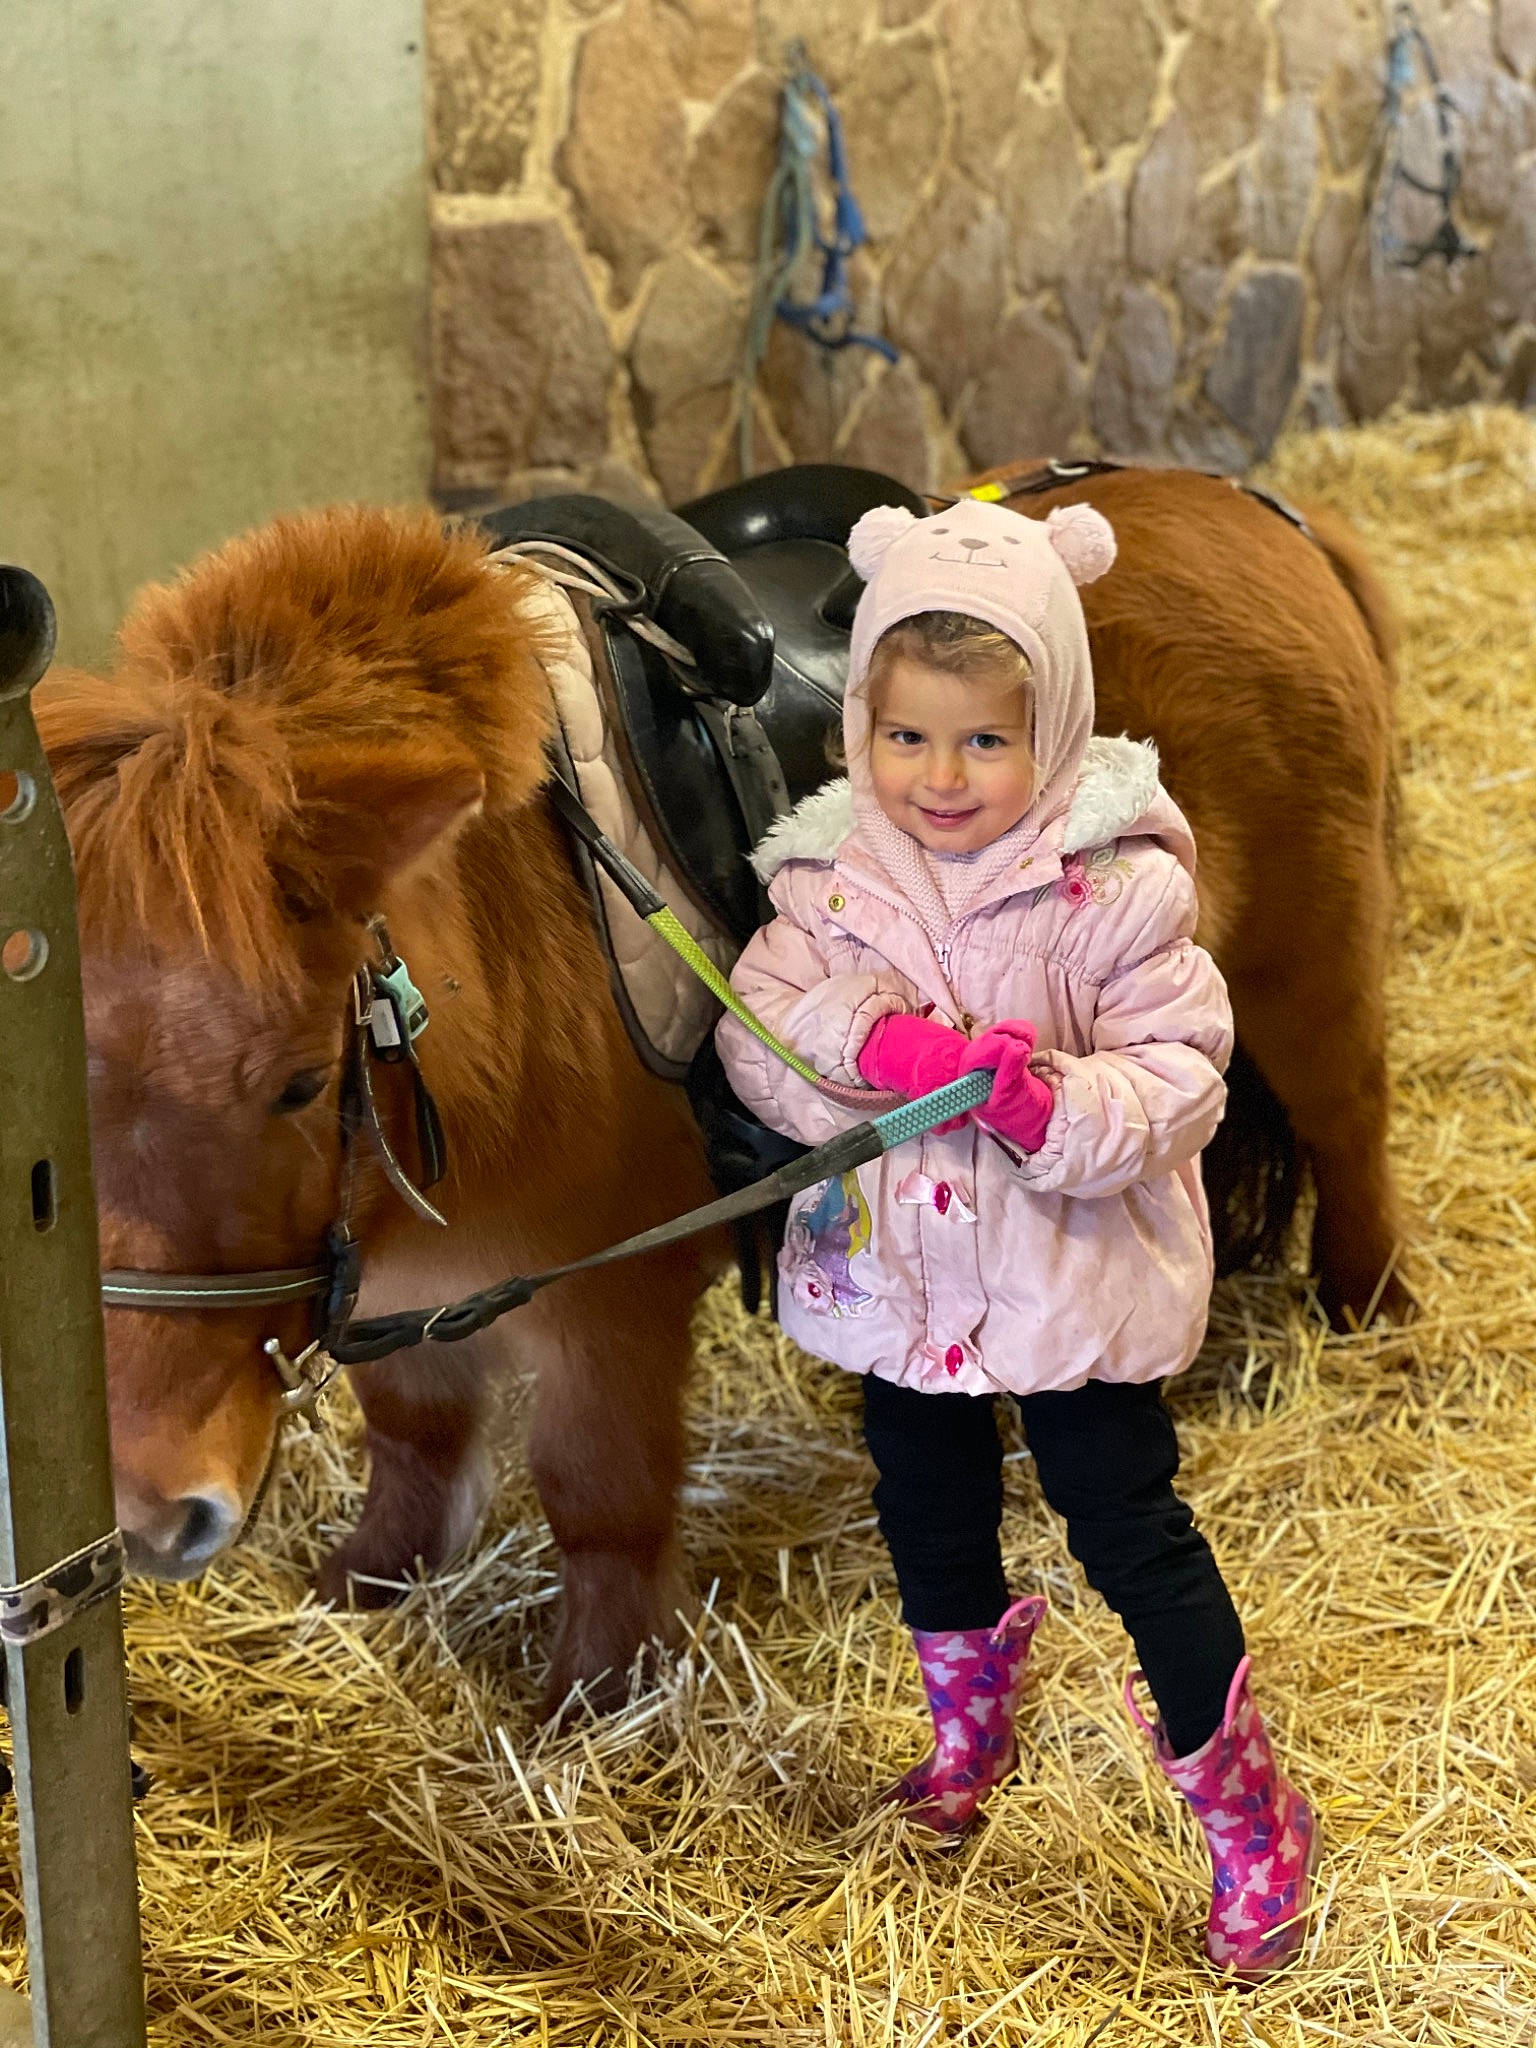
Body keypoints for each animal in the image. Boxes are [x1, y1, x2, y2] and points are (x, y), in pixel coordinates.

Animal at [36, 466, 1402, 1712]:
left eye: (301, 1080)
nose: (151, 1514)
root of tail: (1257, 507)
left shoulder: (614, 1295)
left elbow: (600, 1490)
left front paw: (596, 1691)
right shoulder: (405, 1288)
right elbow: (414, 1442)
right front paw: (366, 1584)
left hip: (1308, 961)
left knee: (1352, 1123)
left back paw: (1370, 1307)